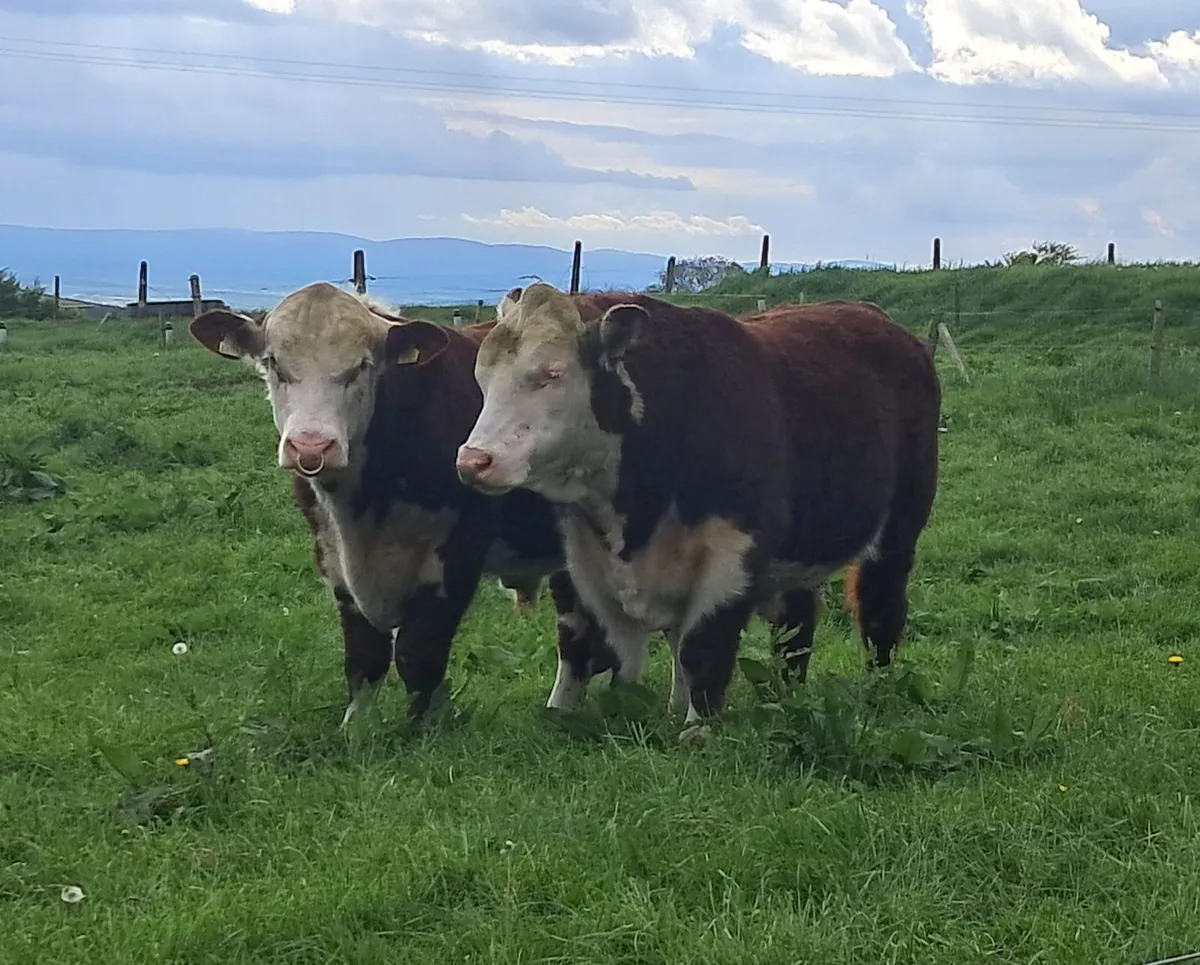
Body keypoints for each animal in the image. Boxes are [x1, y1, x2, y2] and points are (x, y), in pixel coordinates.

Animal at [189, 281, 612, 726]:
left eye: (360, 366)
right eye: (273, 363)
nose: (311, 446)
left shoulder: (458, 556)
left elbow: (418, 653)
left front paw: (429, 727)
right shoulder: (333, 558)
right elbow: (364, 657)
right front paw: (357, 728)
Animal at [455, 282, 941, 728]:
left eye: (552, 372)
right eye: (482, 377)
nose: (473, 460)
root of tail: (878, 319)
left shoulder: (733, 553)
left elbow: (701, 647)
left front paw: (697, 729)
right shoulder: (581, 555)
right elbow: (593, 648)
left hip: (899, 532)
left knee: (880, 606)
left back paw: (878, 687)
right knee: (796, 625)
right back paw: (785, 695)